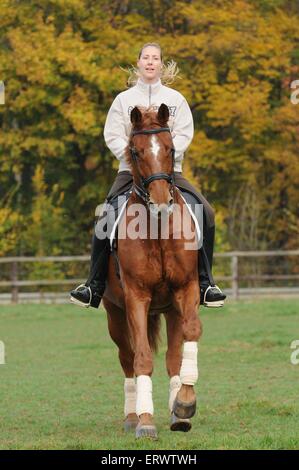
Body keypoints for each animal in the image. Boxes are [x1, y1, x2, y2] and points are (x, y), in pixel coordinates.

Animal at [103, 103, 204, 440]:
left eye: (171, 148)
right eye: (135, 152)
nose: (162, 205)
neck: (158, 230)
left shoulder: (186, 289)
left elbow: (191, 334)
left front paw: (184, 404)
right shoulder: (136, 298)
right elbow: (142, 359)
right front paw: (146, 421)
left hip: (171, 310)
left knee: (173, 358)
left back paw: (177, 410)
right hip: (115, 313)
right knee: (127, 358)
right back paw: (132, 415)